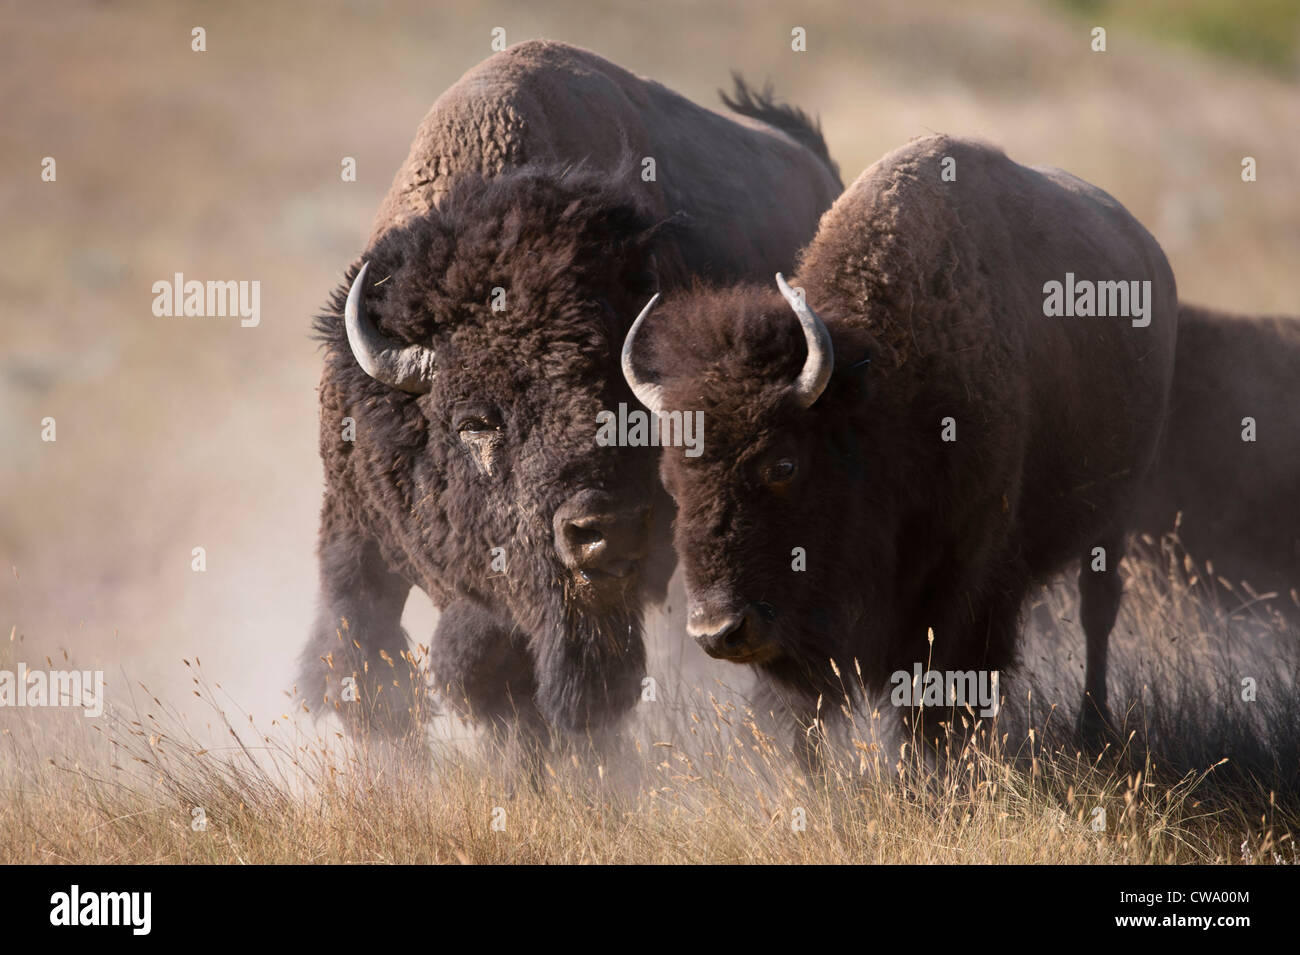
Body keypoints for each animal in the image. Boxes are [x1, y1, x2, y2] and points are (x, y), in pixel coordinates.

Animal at [618, 134, 1180, 758]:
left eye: (782, 464)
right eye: (671, 482)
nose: (717, 631)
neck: (881, 390)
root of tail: (1150, 252)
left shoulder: (966, 576)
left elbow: (939, 687)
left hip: (1114, 519)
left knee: (1096, 610)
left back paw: (1093, 727)